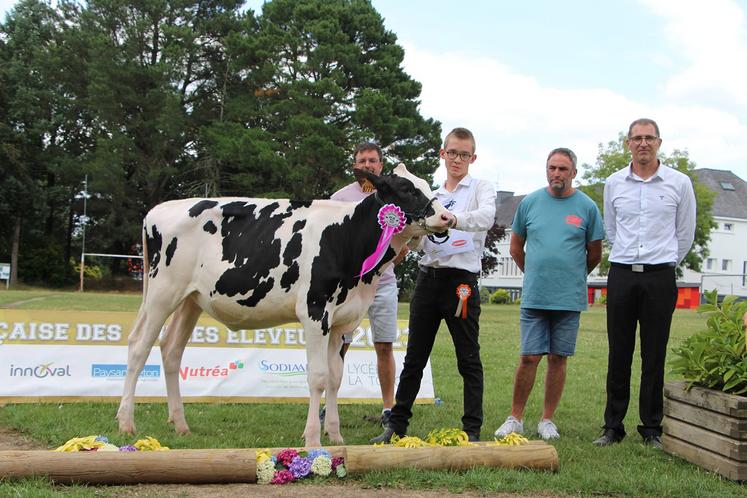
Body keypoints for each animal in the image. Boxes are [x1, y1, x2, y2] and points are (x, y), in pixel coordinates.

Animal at [116, 163, 452, 448]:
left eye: (427, 186)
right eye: (407, 189)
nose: (447, 218)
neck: (345, 235)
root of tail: (160, 209)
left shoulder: (341, 321)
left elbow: (335, 378)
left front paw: (335, 435)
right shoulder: (315, 312)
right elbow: (317, 377)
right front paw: (313, 440)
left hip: (191, 300)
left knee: (171, 350)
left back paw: (180, 424)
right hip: (162, 292)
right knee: (139, 347)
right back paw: (126, 422)